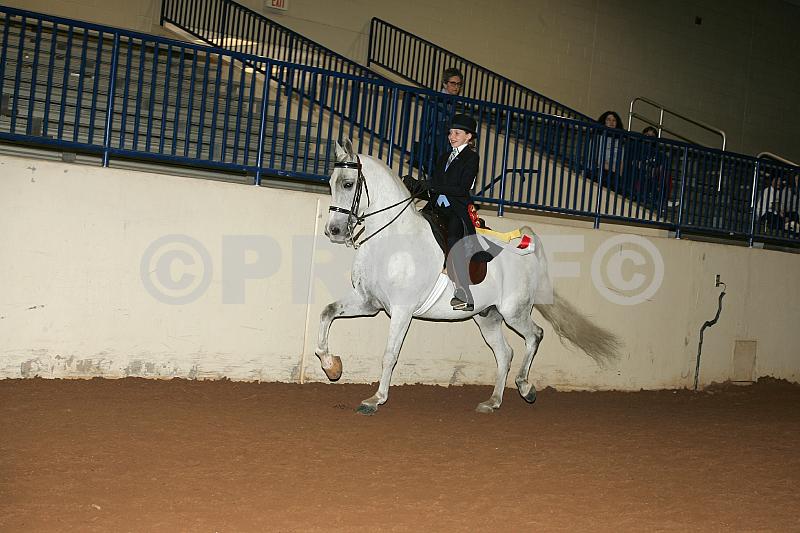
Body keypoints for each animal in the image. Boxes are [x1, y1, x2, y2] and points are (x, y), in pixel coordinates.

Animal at [316, 139, 620, 414]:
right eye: (330, 183)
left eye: (348, 184)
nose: (334, 231)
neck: (390, 240)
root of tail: (525, 252)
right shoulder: (368, 302)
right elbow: (327, 312)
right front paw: (331, 366)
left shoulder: (402, 310)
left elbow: (390, 355)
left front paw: (375, 400)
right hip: (487, 316)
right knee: (505, 353)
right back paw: (492, 402)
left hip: (514, 311)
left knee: (535, 335)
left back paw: (526, 388)